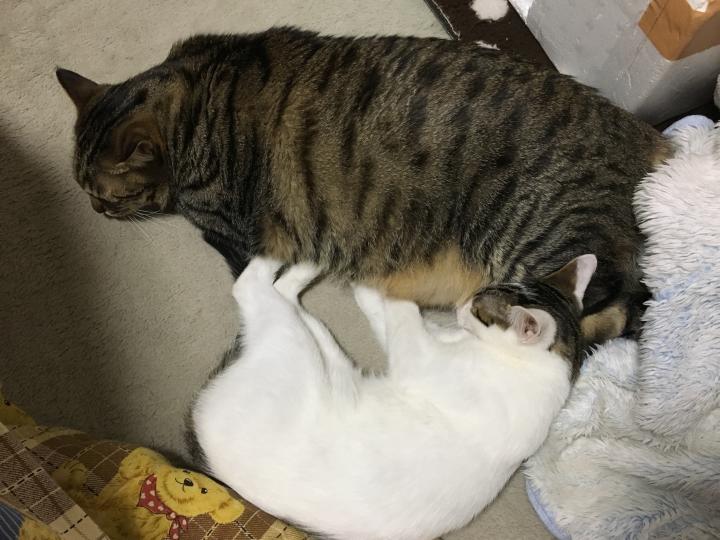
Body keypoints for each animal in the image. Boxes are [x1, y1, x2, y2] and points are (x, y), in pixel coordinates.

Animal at [55, 27, 669, 344]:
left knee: (596, 318)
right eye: (83, 190)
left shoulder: (233, 236)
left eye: (104, 195)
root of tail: (646, 139)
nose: (95, 211)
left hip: (540, 244)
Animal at [189, 252, 596, 540]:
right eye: (481, 294)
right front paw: (370, 291)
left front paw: (388, 286)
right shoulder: (427, 343)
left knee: (252, 288)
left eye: (481, 309)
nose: (461, 305)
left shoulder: (418, 359)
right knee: (286, 296)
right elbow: (386, 318)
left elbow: (403, 313)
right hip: (328, 351)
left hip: (292, 343)